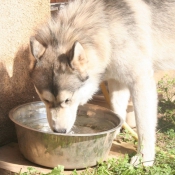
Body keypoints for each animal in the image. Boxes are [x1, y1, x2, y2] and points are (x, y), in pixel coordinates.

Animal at [29, 0, 175, 166]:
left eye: (67, 100)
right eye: (45, 100)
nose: (59, 132)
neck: (107, 28)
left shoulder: (141, 81)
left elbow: (143, 126)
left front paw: (145, 158)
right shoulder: (117, 81)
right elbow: (117, 111)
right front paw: (113, 133)